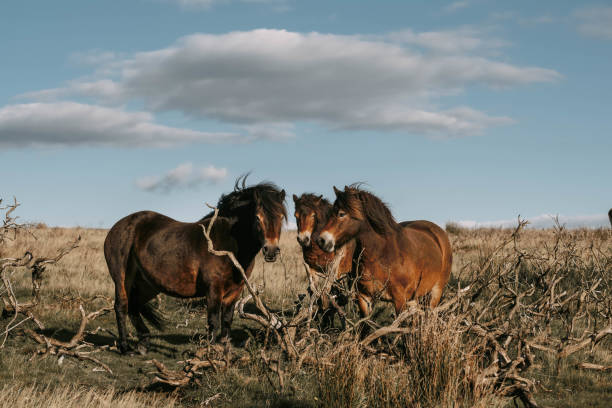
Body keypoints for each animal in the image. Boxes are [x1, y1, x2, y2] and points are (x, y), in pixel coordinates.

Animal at [104, 178, 286, 354]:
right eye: (257, 217)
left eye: (281, 217)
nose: (271, 250)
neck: (227, 244)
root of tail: (118, 226)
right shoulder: (213, 290)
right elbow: (213, 322)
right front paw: (209, 354)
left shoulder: (235, 291)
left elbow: (227, 321)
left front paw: (224, 352)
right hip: (122, 278)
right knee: (121, 306)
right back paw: (125, 347)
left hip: (148, 284)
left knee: (134, 305)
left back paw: (143, 344)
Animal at [316, 185, 454, 318]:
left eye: (341, 214)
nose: (321, 240)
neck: (380, 254)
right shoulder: (364, 298)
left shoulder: (400, 300)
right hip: (414, 299)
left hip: (435, 293)